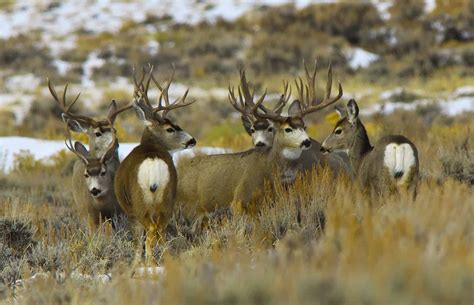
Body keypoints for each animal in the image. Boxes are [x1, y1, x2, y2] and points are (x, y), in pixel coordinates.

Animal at [115, 67, 196, 262]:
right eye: (171, 128)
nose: (192, 140)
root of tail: (153, 162)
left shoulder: (130, 212)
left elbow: (138, 244)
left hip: (140, 202)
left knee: (151, 232)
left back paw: (150, 263)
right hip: (168, 197)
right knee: (162, 231)